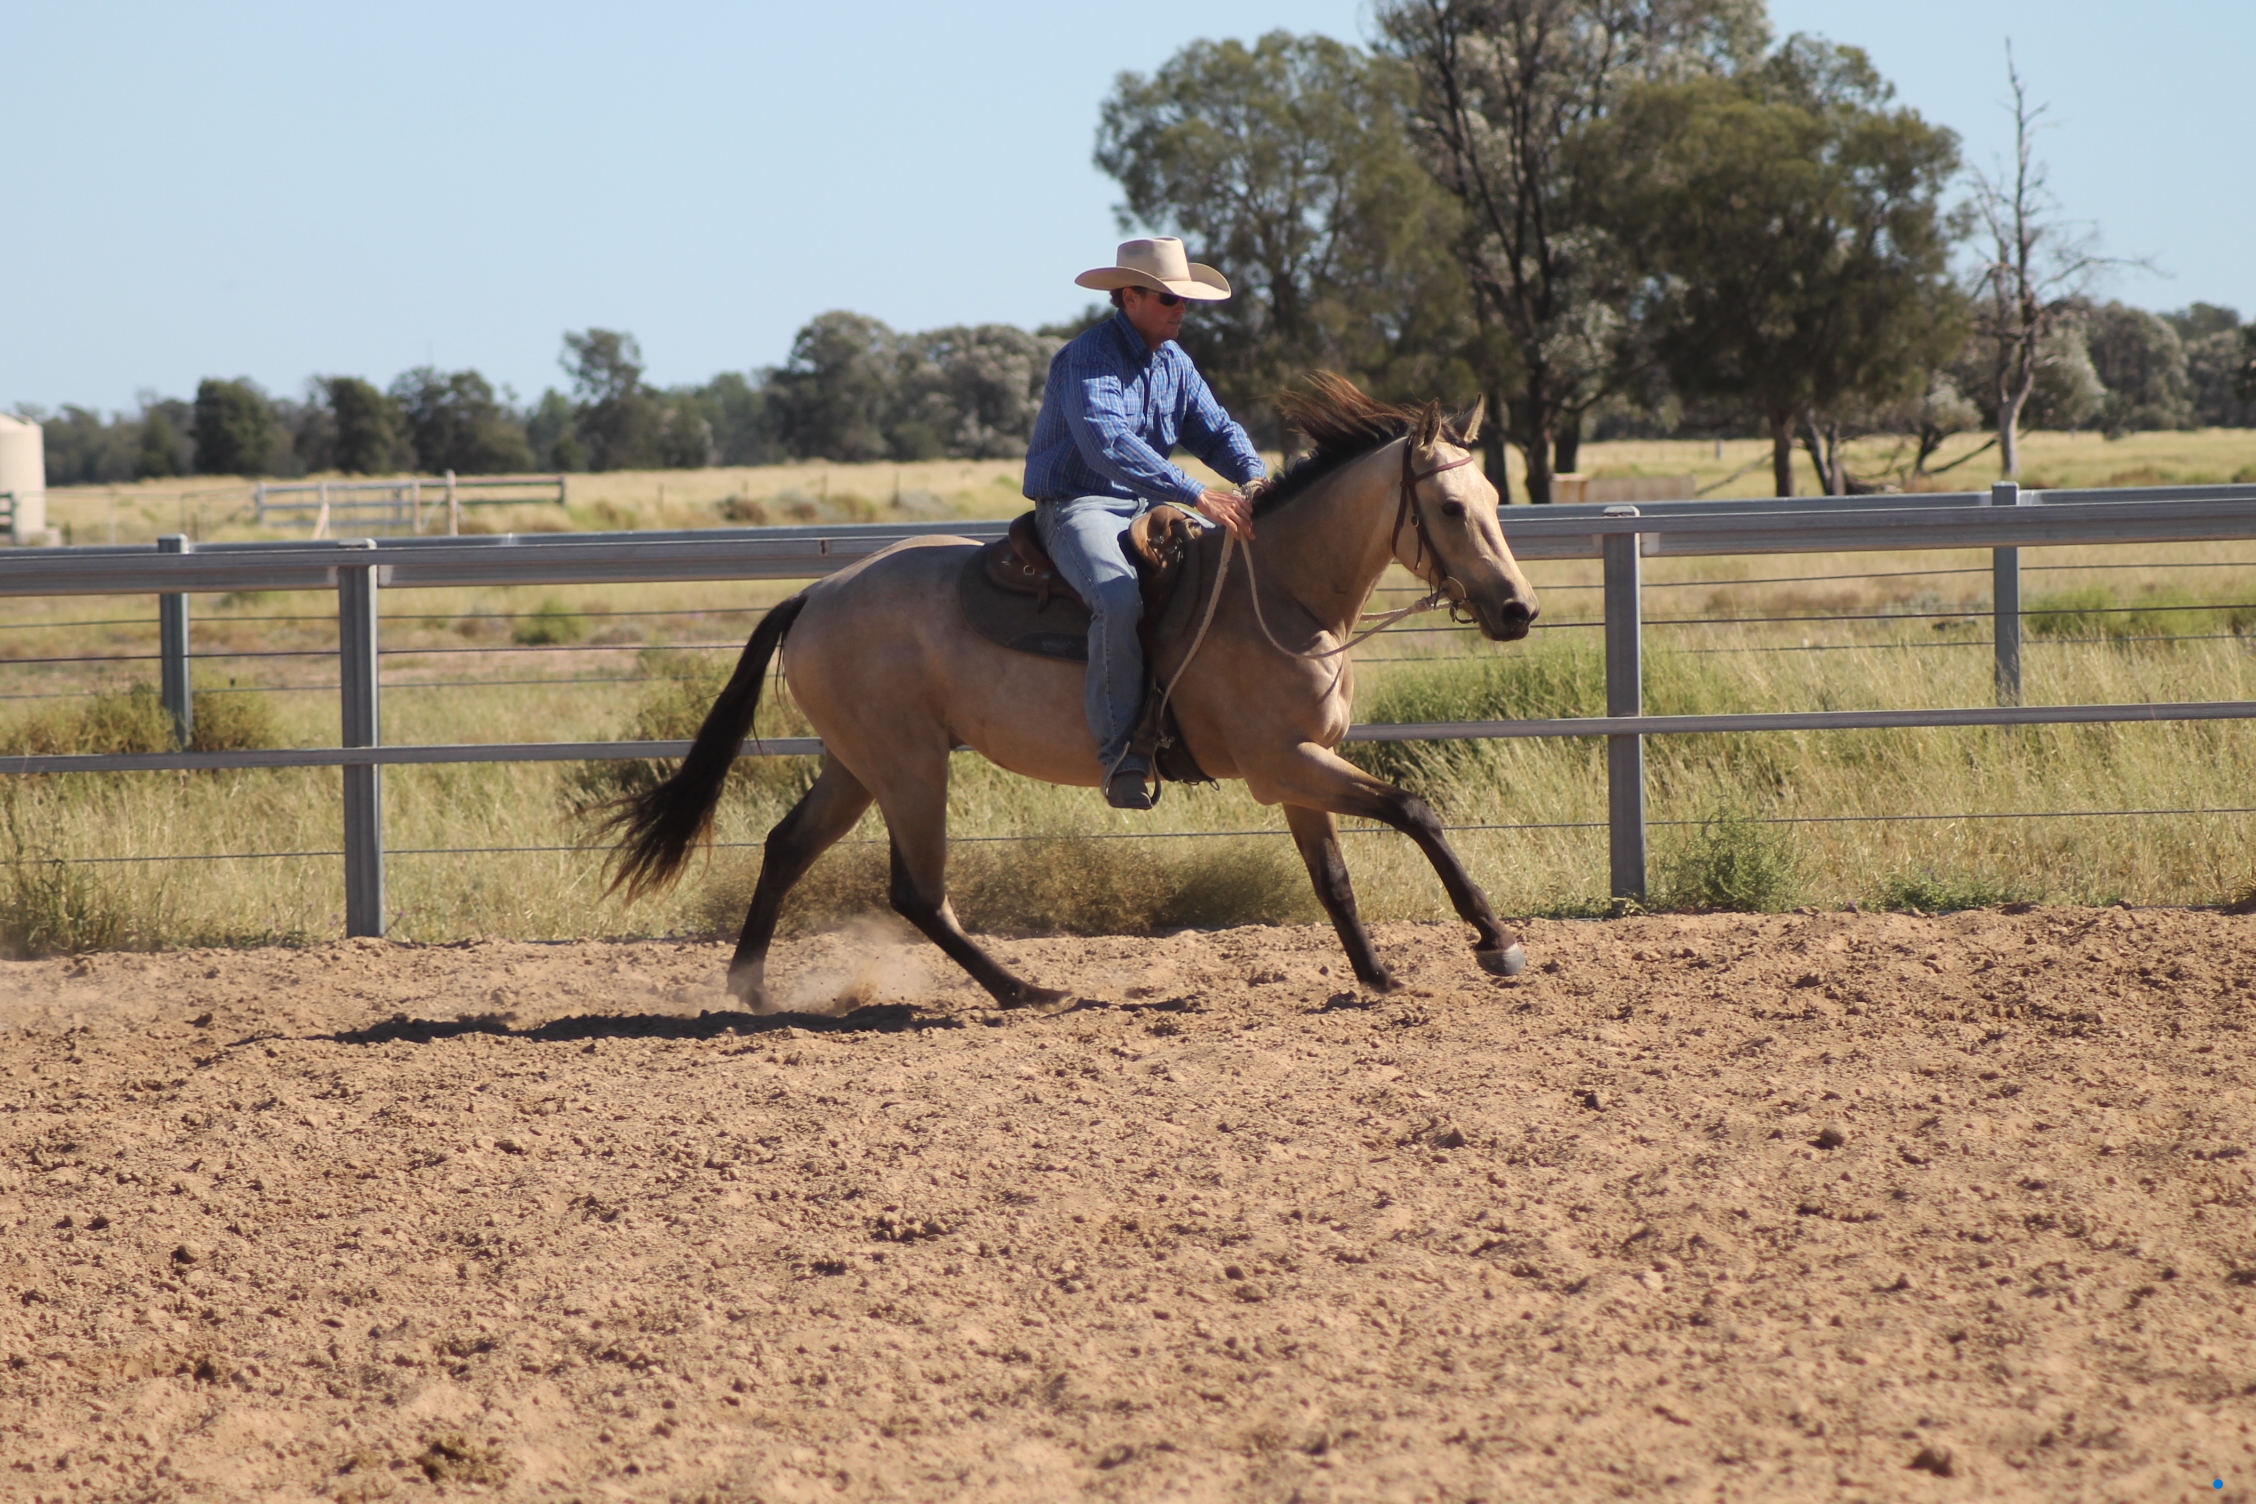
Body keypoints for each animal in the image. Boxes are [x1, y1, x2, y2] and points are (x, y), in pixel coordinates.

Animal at [604, 375, 1542, 1009]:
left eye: (1496, 496)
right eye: (1450, 508)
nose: (1518, 610)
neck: (1277, 592)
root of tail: (817, 595)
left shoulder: (1301, 769)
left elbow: (1336, 880)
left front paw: (1378, 974)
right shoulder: (1281, 765)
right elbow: (1415, 810)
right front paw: (1495, 941)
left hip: (857, 765)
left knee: (787, 849)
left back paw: (752, 988)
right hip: (908, 768)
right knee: (916, 891)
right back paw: (1025, 991)